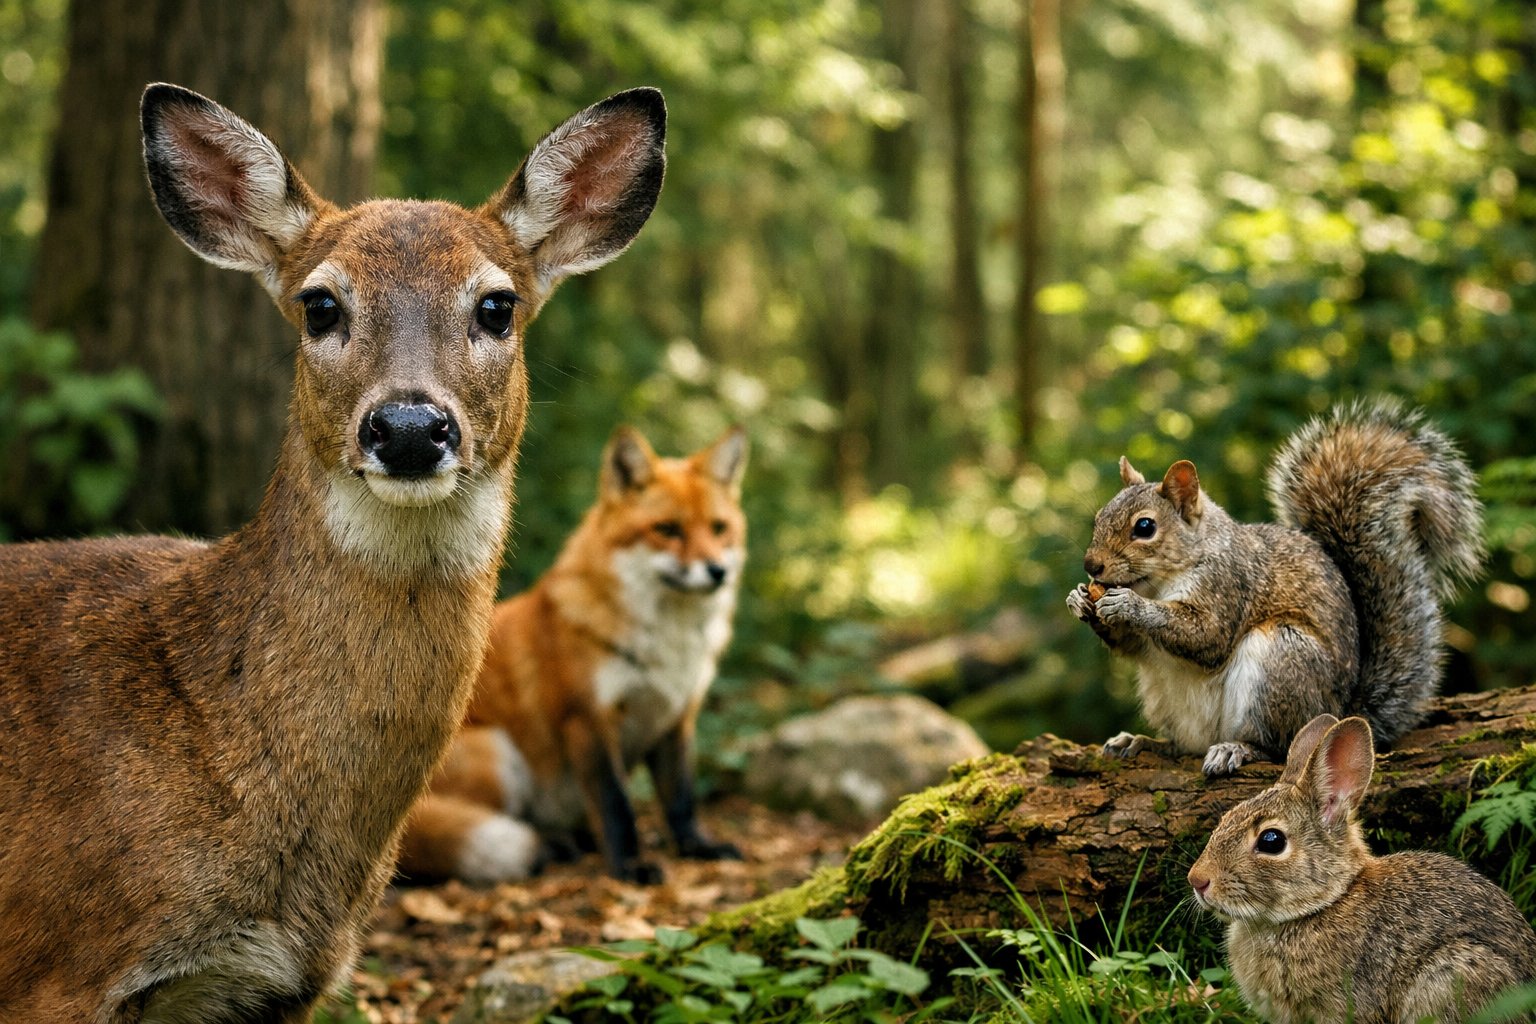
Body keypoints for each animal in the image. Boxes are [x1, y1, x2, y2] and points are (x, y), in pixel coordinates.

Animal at [399, 424, 749, 884]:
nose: (717, 571)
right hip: (498, 754)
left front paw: (697, 847)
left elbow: (681, 800)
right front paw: (629, 867)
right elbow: (616, 806)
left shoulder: (675, 718)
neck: (667, 646)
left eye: (719, 528)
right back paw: (556, 846)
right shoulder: (587, 719)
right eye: (668, 529)